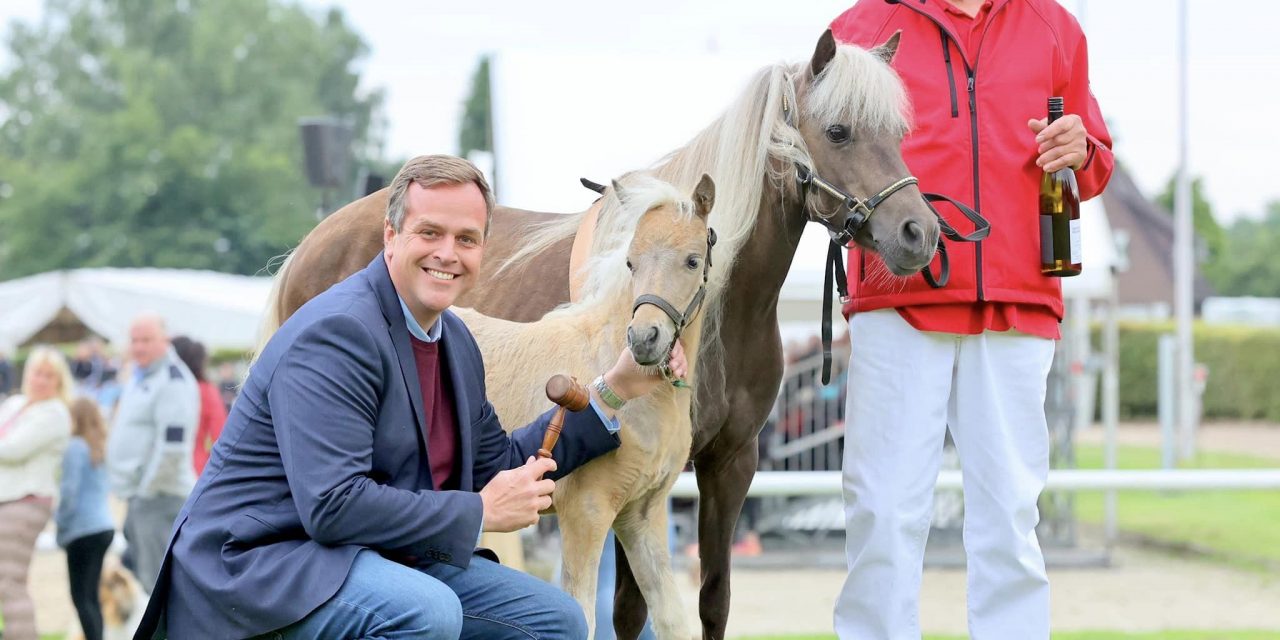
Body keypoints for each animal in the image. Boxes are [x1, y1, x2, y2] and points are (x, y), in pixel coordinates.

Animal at [458, 174, 714, 638]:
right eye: (630, 262)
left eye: (691, 260)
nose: (644, 340)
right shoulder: (585, 512)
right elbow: (584, 614)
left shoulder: (641, 516)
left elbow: (672, 619)